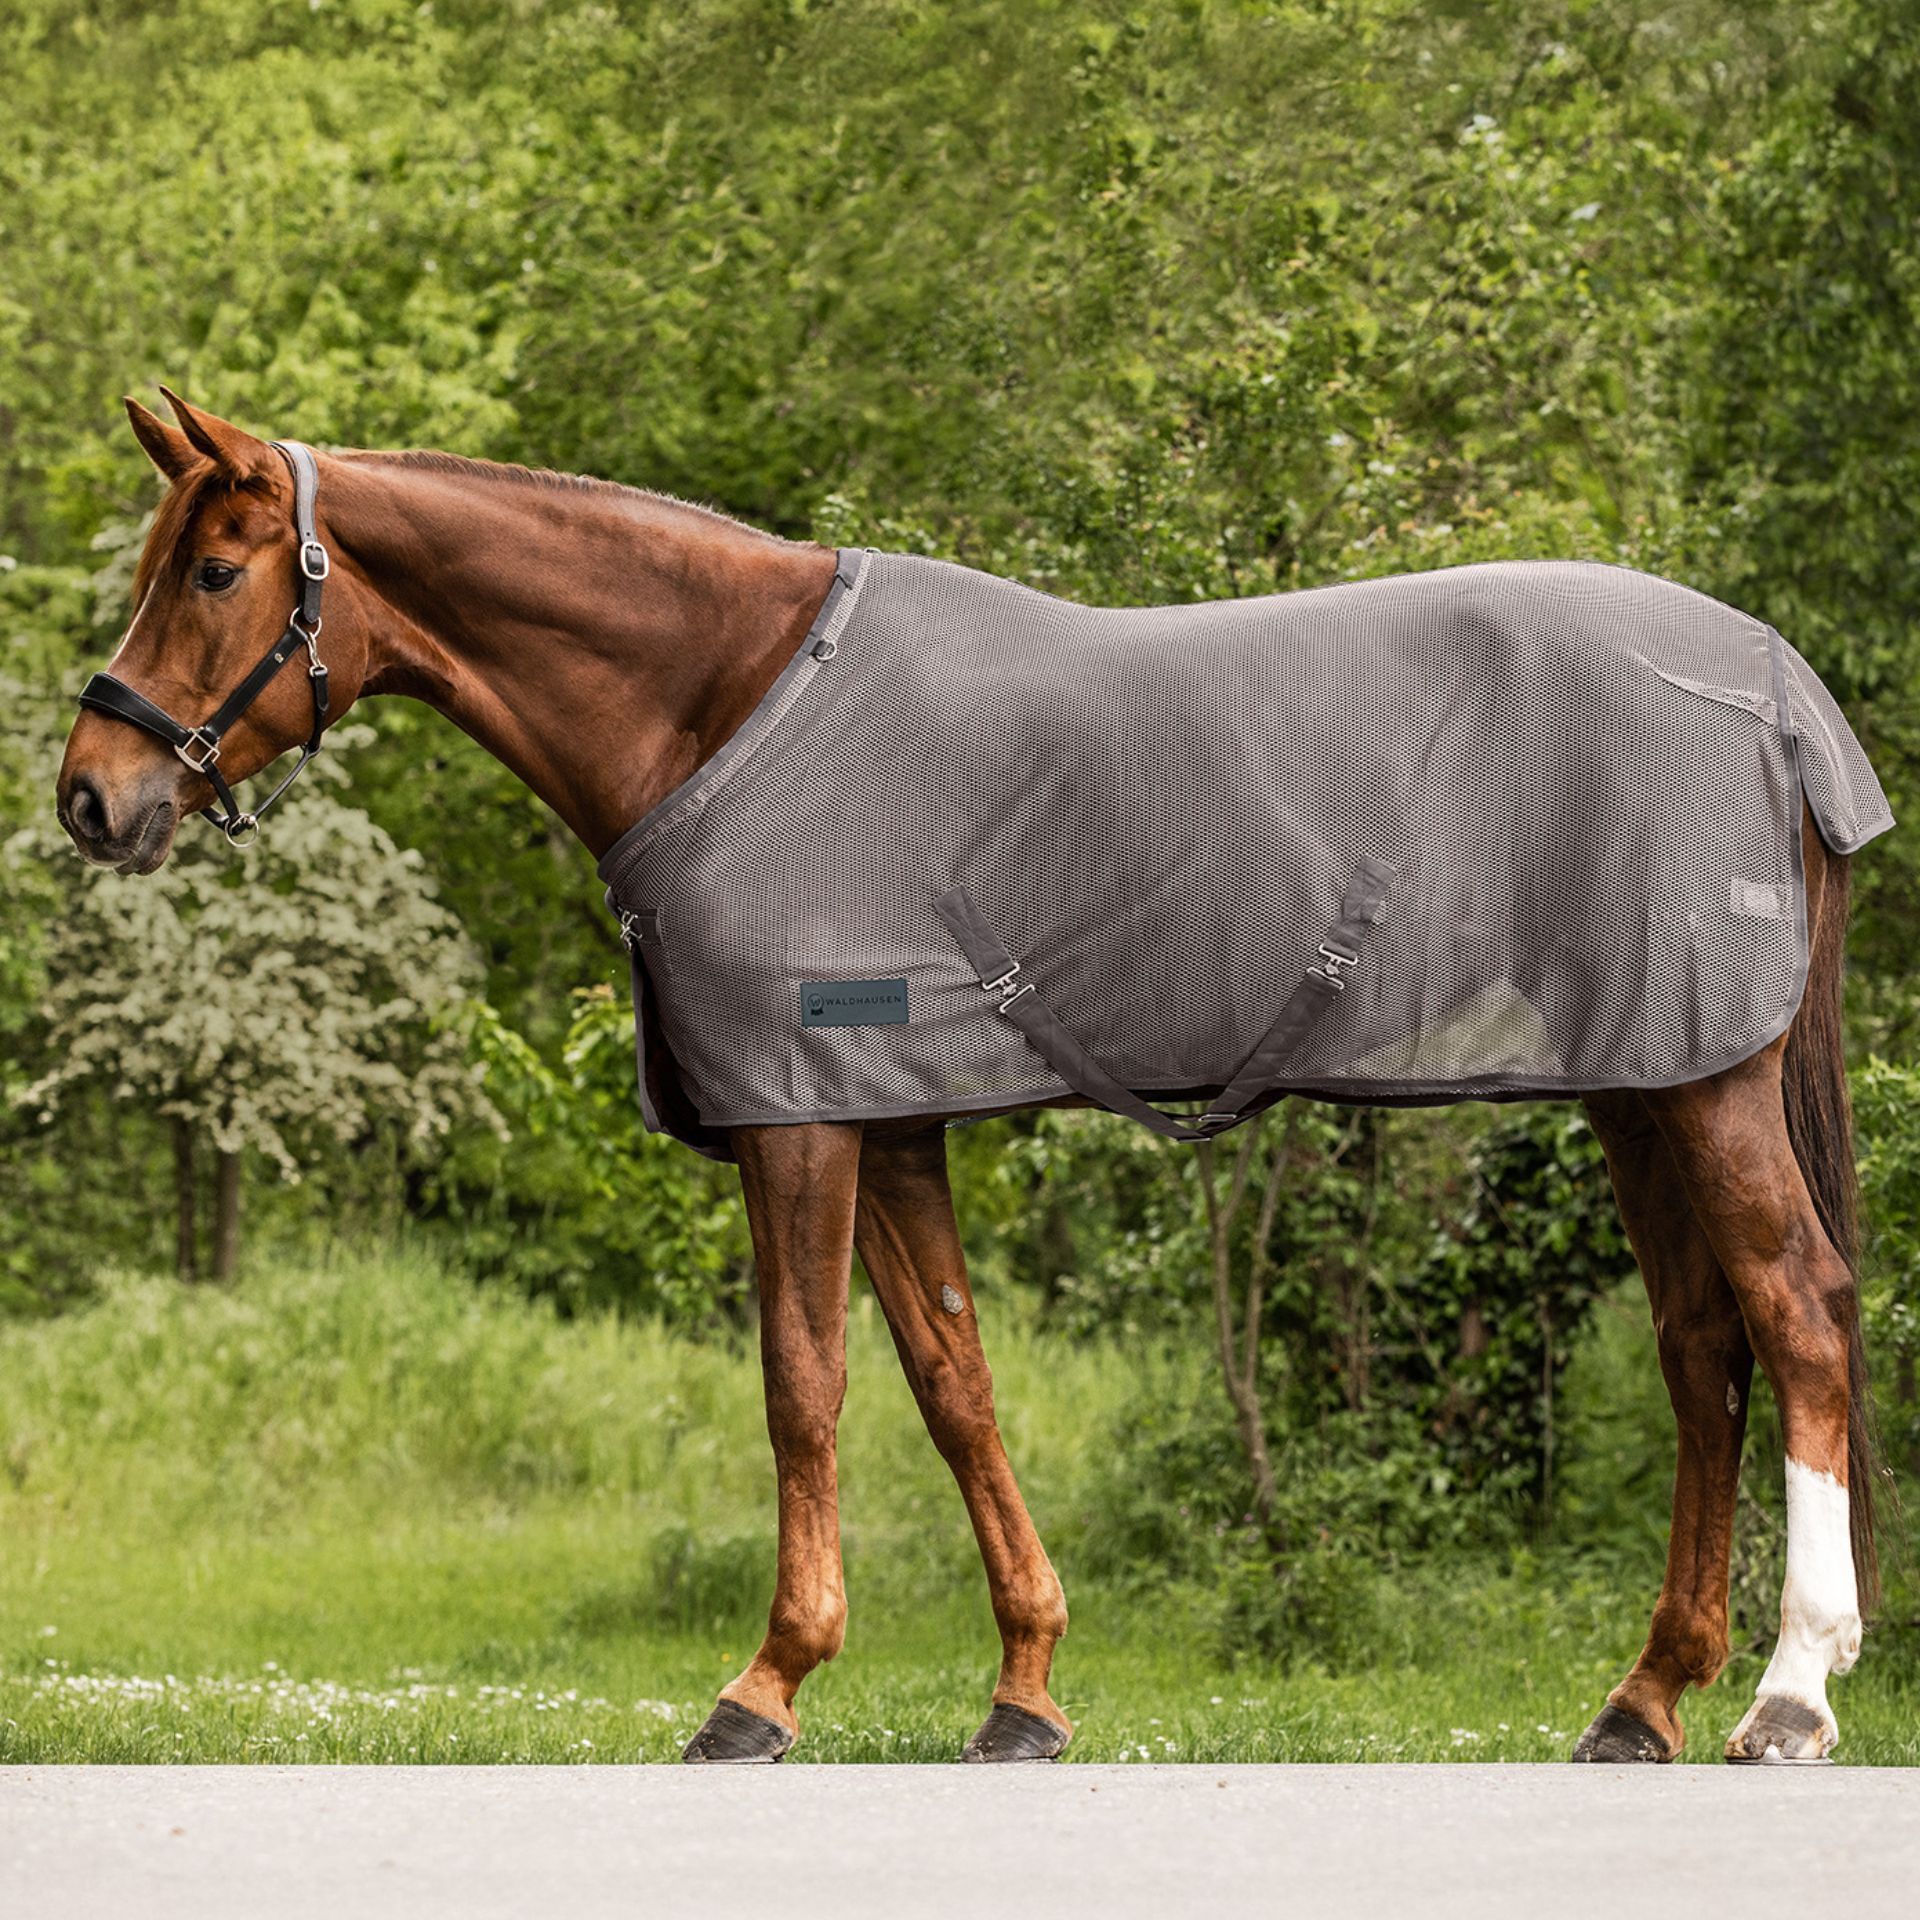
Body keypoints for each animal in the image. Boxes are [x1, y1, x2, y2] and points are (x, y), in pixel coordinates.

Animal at [56, 389, 1883, 1768]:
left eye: (213, 568)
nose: (90, 794)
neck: (727, 701)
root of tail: (1779, 688)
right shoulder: (895, 1122)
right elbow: (955, 1385)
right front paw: (1024, 1692)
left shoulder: (801, 1116)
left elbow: (804, 1386)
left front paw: (766, 1686)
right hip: (1645, 1080)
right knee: (1702, 1347)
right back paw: (1644, 1700)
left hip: (1705, 1086)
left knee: (1796, 1312)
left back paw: (1791, 1692)